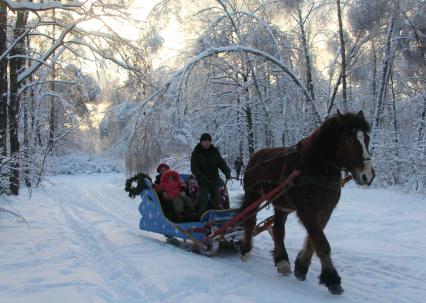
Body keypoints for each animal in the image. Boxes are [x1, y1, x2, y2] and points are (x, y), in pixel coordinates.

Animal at [241, 110, 374, 296]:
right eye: (349, 139)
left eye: (367, 138)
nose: (367, 175)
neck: (316, 168)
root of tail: (255, 156)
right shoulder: (307, 211)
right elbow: (322, 243)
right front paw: (332, 279)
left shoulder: (325, 211)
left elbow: (313, 240)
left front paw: (301, 267)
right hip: (253, 196)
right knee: (249, 220)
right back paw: (246, 250)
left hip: (281, 205)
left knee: (278, 230)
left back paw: (282, 261)